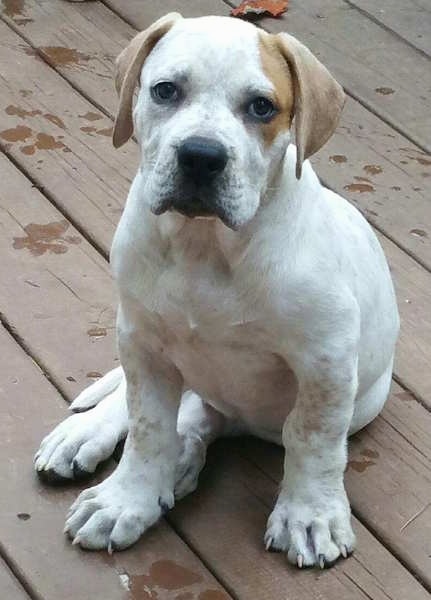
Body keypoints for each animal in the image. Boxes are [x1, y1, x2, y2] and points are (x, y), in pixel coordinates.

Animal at [35, 12, 400, 568]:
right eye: (165, 90)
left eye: (262, 107)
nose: (201, 156)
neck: (204, 246)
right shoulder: (141, 340)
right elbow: (147, 426)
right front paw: (127, 498)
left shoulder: (327, 360)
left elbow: (312, 438)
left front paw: (310, 515)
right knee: (160, 408)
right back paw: (88, 436)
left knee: (202, 418)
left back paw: (181, 461)